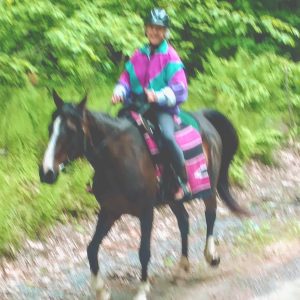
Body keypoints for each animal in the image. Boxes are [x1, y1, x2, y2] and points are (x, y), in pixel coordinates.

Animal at [38, 90, 248, 298]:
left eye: (71, 130)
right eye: (49, 128)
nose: (46, 172)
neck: (118, 158)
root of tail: (203, 117)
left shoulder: (146, 212)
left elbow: (144, 251)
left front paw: (141, 290)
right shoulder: (110, 211)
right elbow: (91, 248)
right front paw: (101, 290)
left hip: (209, 185)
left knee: (210, 213)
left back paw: (211, 255)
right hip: (173, 199)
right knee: (184, 221)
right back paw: (181, 268)